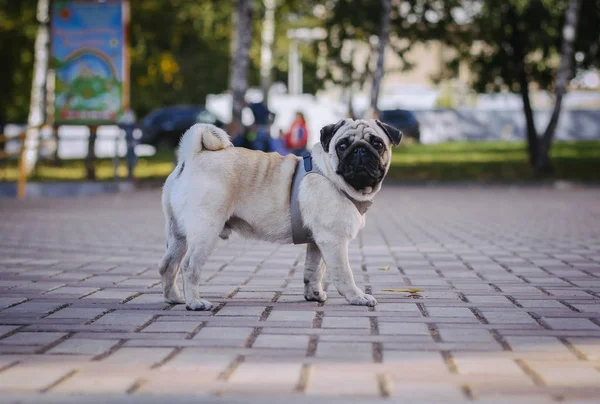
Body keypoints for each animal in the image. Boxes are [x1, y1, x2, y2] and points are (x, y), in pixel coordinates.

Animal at [162, 118, 400, 310]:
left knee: (168, 265)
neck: (331, 175)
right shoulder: (334, 240)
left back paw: (175, 298)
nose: (360, 150)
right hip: (206, 231)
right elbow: (342, 272)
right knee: (189, 266)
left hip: (178, 234)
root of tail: (192, 156)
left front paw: (314, 294)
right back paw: (194, 303)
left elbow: (314, 270)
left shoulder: (318, 241)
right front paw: (357, 296)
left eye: (377, 144)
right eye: (342, 146)